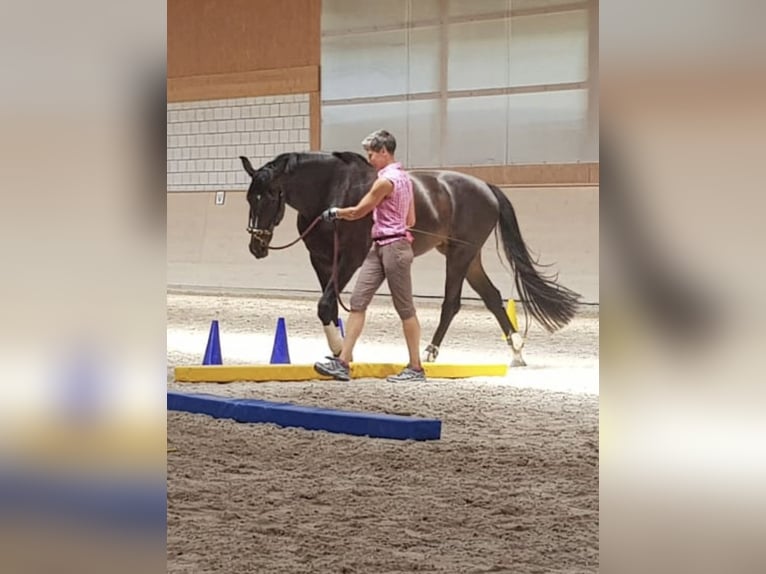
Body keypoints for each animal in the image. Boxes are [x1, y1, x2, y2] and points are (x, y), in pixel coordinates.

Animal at [240, 151, 581, 366]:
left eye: (268, 196)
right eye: (248, 198)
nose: (256, 246)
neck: (334, 191)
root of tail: (486, 187)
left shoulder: (350, 258)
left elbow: (325, 304)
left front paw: (338, 350)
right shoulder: (322, 260)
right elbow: (331, 306)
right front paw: (338, 350)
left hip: (460, 255)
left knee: (452, 303)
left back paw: (430, 352)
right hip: (469, 257)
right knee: (493, 298)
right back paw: (516, 352)